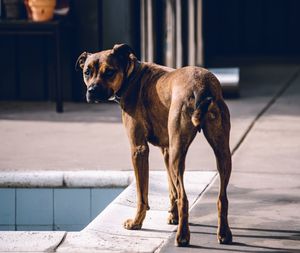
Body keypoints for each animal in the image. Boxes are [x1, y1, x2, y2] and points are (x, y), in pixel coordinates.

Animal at [75, 44, 232, 247]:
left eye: (109, 71)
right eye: (87, 72)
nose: (92, 91)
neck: (132, 77)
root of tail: (202, 86)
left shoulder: (139, 149)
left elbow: (142, 195)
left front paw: (136, 222)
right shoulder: (167, 150)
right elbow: (171, 188)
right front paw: (172, 216)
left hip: (178, 154)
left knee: (184, 198)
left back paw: (182, 236)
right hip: (220, 152)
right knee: (221, 197)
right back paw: (224, 233)